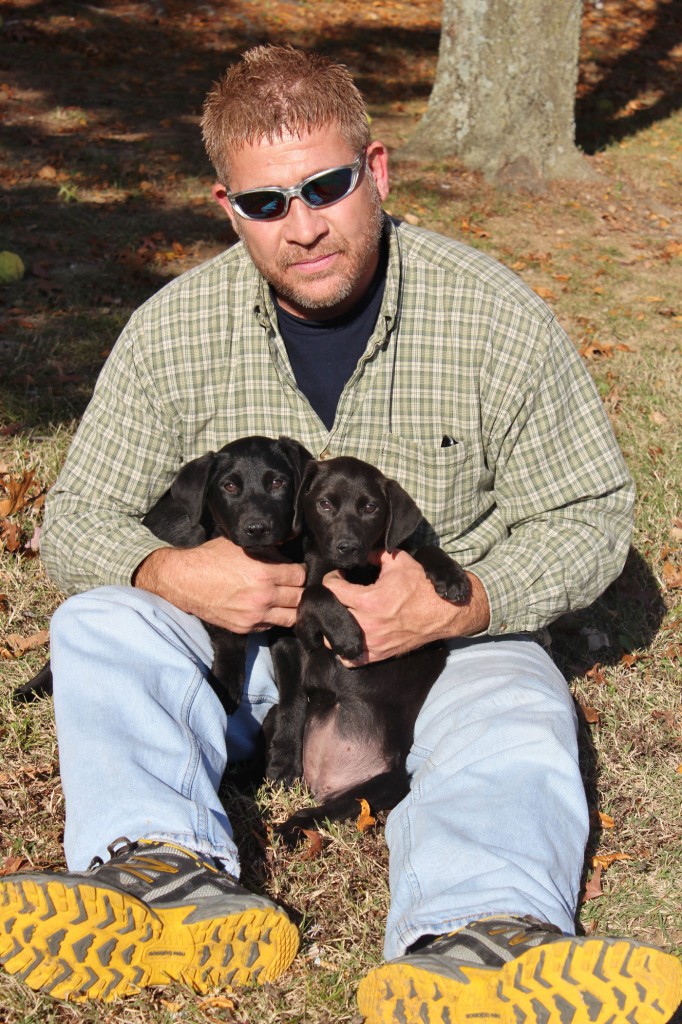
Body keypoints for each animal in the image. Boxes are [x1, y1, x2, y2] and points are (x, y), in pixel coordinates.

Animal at [13, 436, 307, 716]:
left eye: (278, 483)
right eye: (229, 486)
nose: (257, 529)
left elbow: (294, 684)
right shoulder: (220, 600)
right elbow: (230, 648)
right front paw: (224, 693)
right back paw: (30, 689)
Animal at [266, 460, 473, 835]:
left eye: (371, 508)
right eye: (325, 504)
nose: (347, 547)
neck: (356, 572)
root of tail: (324, 782)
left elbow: (420, 550)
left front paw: (451, 576)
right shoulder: (304, 630)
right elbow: (314, 591)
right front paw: (348, 634)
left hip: (385, 787)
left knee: (317, 814)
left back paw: (287, 830)